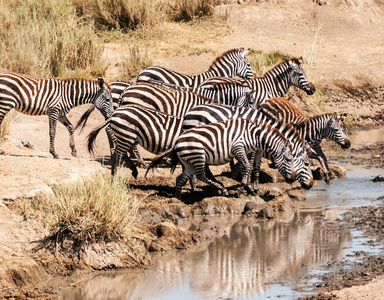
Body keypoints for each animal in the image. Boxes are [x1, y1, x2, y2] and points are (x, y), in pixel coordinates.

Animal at [147, 118, 294, 200]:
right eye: (288, 160)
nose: (292, 179)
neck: (254, 135)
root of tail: (176, 142)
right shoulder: (238, 147)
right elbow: (247, 166)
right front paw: (241, 188)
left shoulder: (246, 151)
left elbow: (248, 167)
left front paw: (248, 187)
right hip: (198, 155)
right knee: (201, 175)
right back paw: (222, 189)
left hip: (189, 162)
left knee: (180, 179)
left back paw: (179, 199)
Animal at [184, 104, 314, 191]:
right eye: (306, 164)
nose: (311, 185)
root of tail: (190, 111)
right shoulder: (250, 146)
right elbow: (249, 165)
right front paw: (245, 183)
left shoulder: (259, 149)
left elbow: (256, 167)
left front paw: (254, 188)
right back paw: (197, 185)